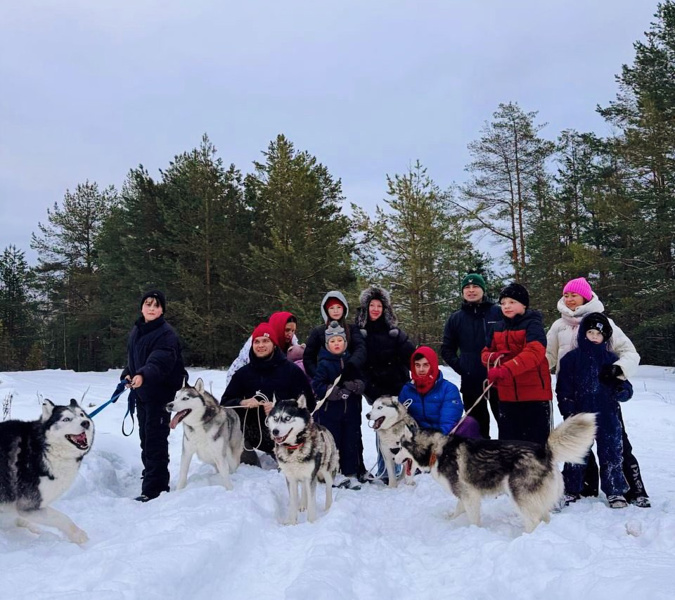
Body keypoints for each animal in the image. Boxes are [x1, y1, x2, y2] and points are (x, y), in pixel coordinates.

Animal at [0, 398, 95, 544]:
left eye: (82, 415)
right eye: (66, 419)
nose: (86, 423)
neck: (44, 448)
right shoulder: (29, 504)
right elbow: (61, 518)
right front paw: (78, 535)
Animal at [394, 412, 596, 536]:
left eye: (400, 446)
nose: (394, 457)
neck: (436, 450)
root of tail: (544, 450)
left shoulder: (469, 495)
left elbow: (473, 518)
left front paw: (473, 531)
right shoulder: (465, 493)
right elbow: (458, 509)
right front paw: (451, 519)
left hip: (520, 496)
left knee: (533, 520)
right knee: (544, 517)